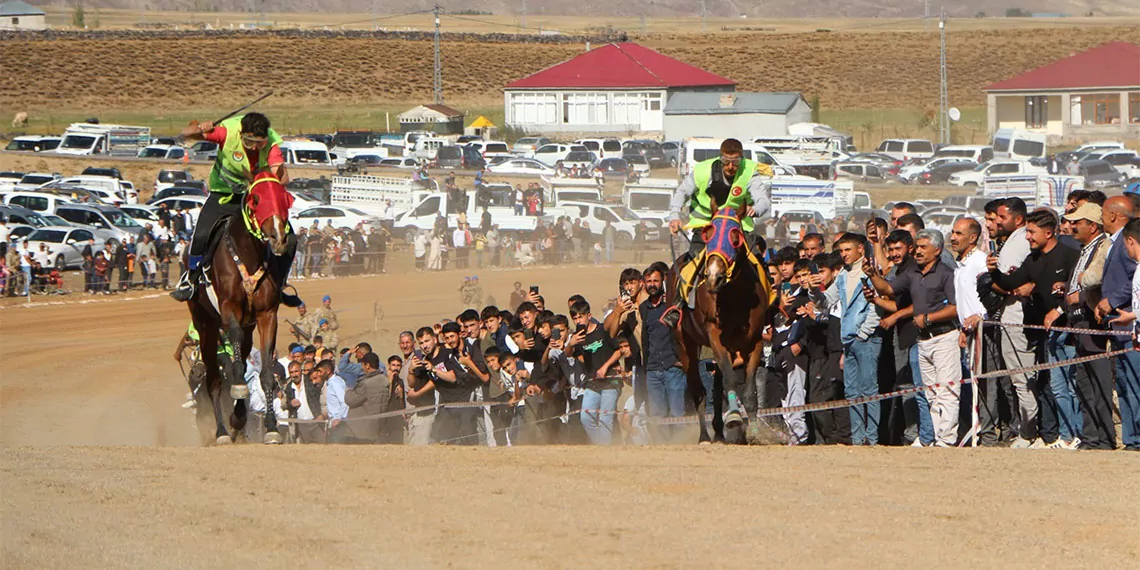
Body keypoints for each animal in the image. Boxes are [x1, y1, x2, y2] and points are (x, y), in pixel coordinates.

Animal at [189, 173, 294, 444]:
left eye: (285, 198)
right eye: (256, 200)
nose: (279, 238)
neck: (247, 255)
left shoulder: (267, 315)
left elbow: (266, 373)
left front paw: (271, 427)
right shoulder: (228, 308)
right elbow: (232, 354)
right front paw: (237, 388)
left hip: (247, 328)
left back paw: (238, 421)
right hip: (205, 324)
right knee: (213, 380)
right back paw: (222, 431)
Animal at [665, 200, 775, 444]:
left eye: (735, 237)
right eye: (709, 234)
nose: (714, 276)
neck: (734, 297)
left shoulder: (754, 341)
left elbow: (749, 389)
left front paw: (754, 432)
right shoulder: (715, 336)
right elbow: (730, 380)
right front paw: (733, 418)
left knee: (716, 388)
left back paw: (718, 432)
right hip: (684, 343)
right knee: (698, 389)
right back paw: (705, 435)